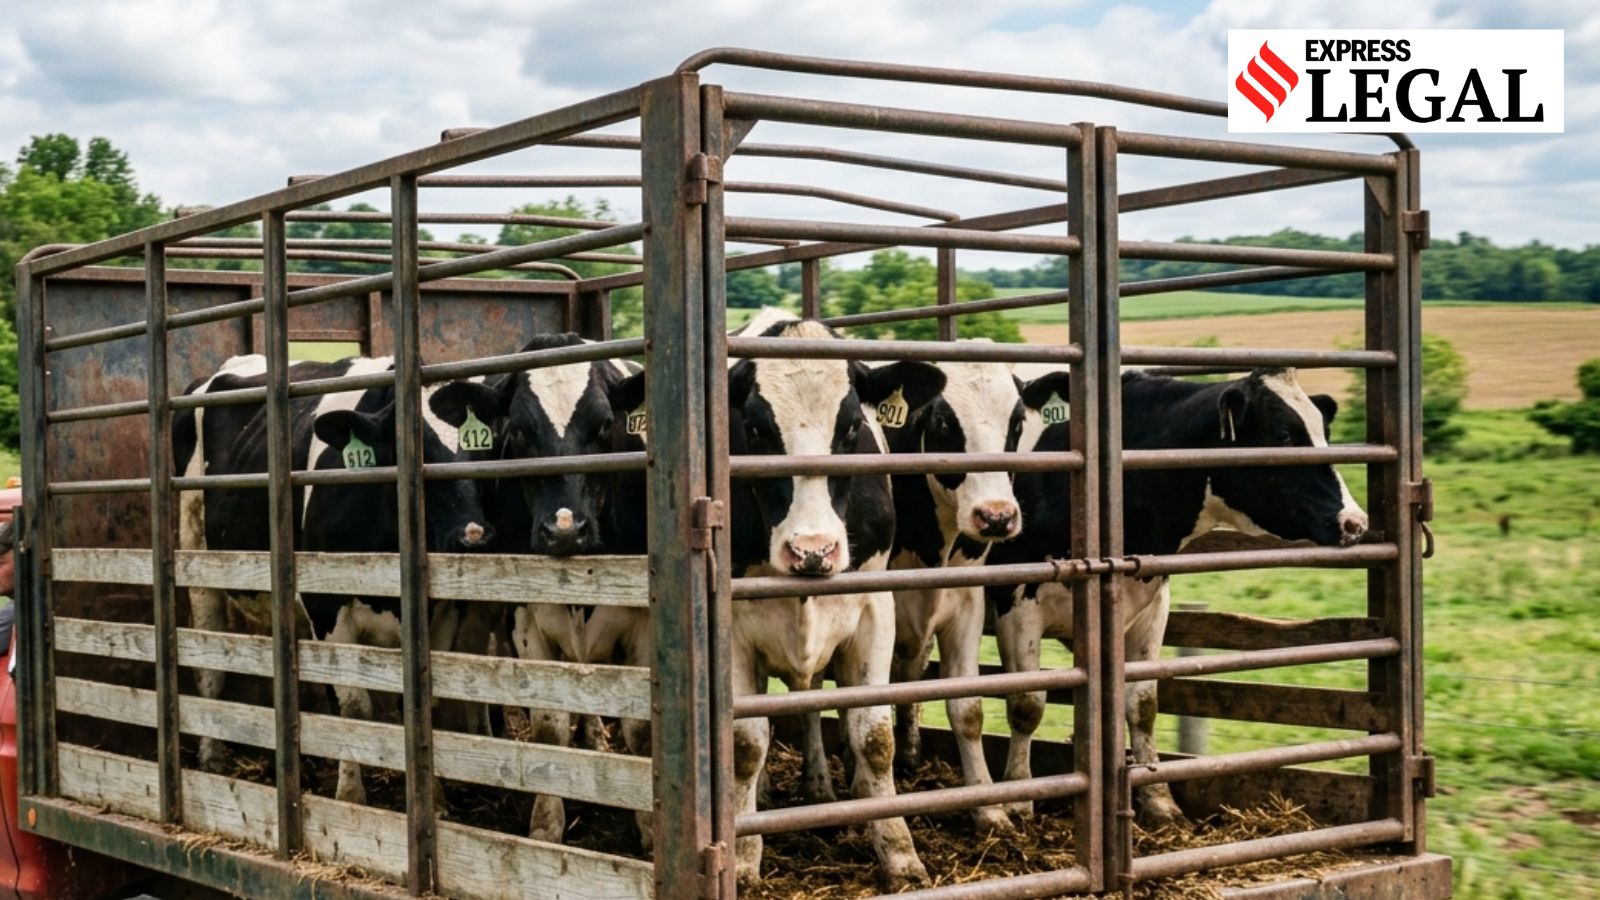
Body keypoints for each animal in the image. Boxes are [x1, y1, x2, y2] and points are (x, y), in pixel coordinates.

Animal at [174, 354, 499, 803]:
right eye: (410, 448)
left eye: (483, 448)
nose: (473, 537)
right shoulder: (326, 606)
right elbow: (353, 705)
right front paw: (350, 796)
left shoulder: (442, 613)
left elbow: (420, 707)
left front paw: (431, 794)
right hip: (198, 565)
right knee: (210, 671)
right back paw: (211, 760)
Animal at [429, 333, 653, 847]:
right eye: (516, 431)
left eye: (605, 424)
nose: (564, 530)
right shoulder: (528, 618)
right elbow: (550, 725)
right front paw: (546, 824)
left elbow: (638, 728)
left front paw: (651, 829)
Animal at [724, 315, 944, 890]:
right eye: (755, 429)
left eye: (849, 428)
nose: (812, 550)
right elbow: (745, 744)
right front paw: (742, 856)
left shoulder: (872, 607)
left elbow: (874, 737)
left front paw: (899, 852)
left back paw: (822, 788)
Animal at [985, 367, 1369, 823]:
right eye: (1285, 435)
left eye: (1323, 433)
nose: (1354, 522)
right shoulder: (1015, 601)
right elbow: (1026, 705)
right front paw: (1017, 799)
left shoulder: (1149, 602)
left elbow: (1142, 705)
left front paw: (1159, 800)